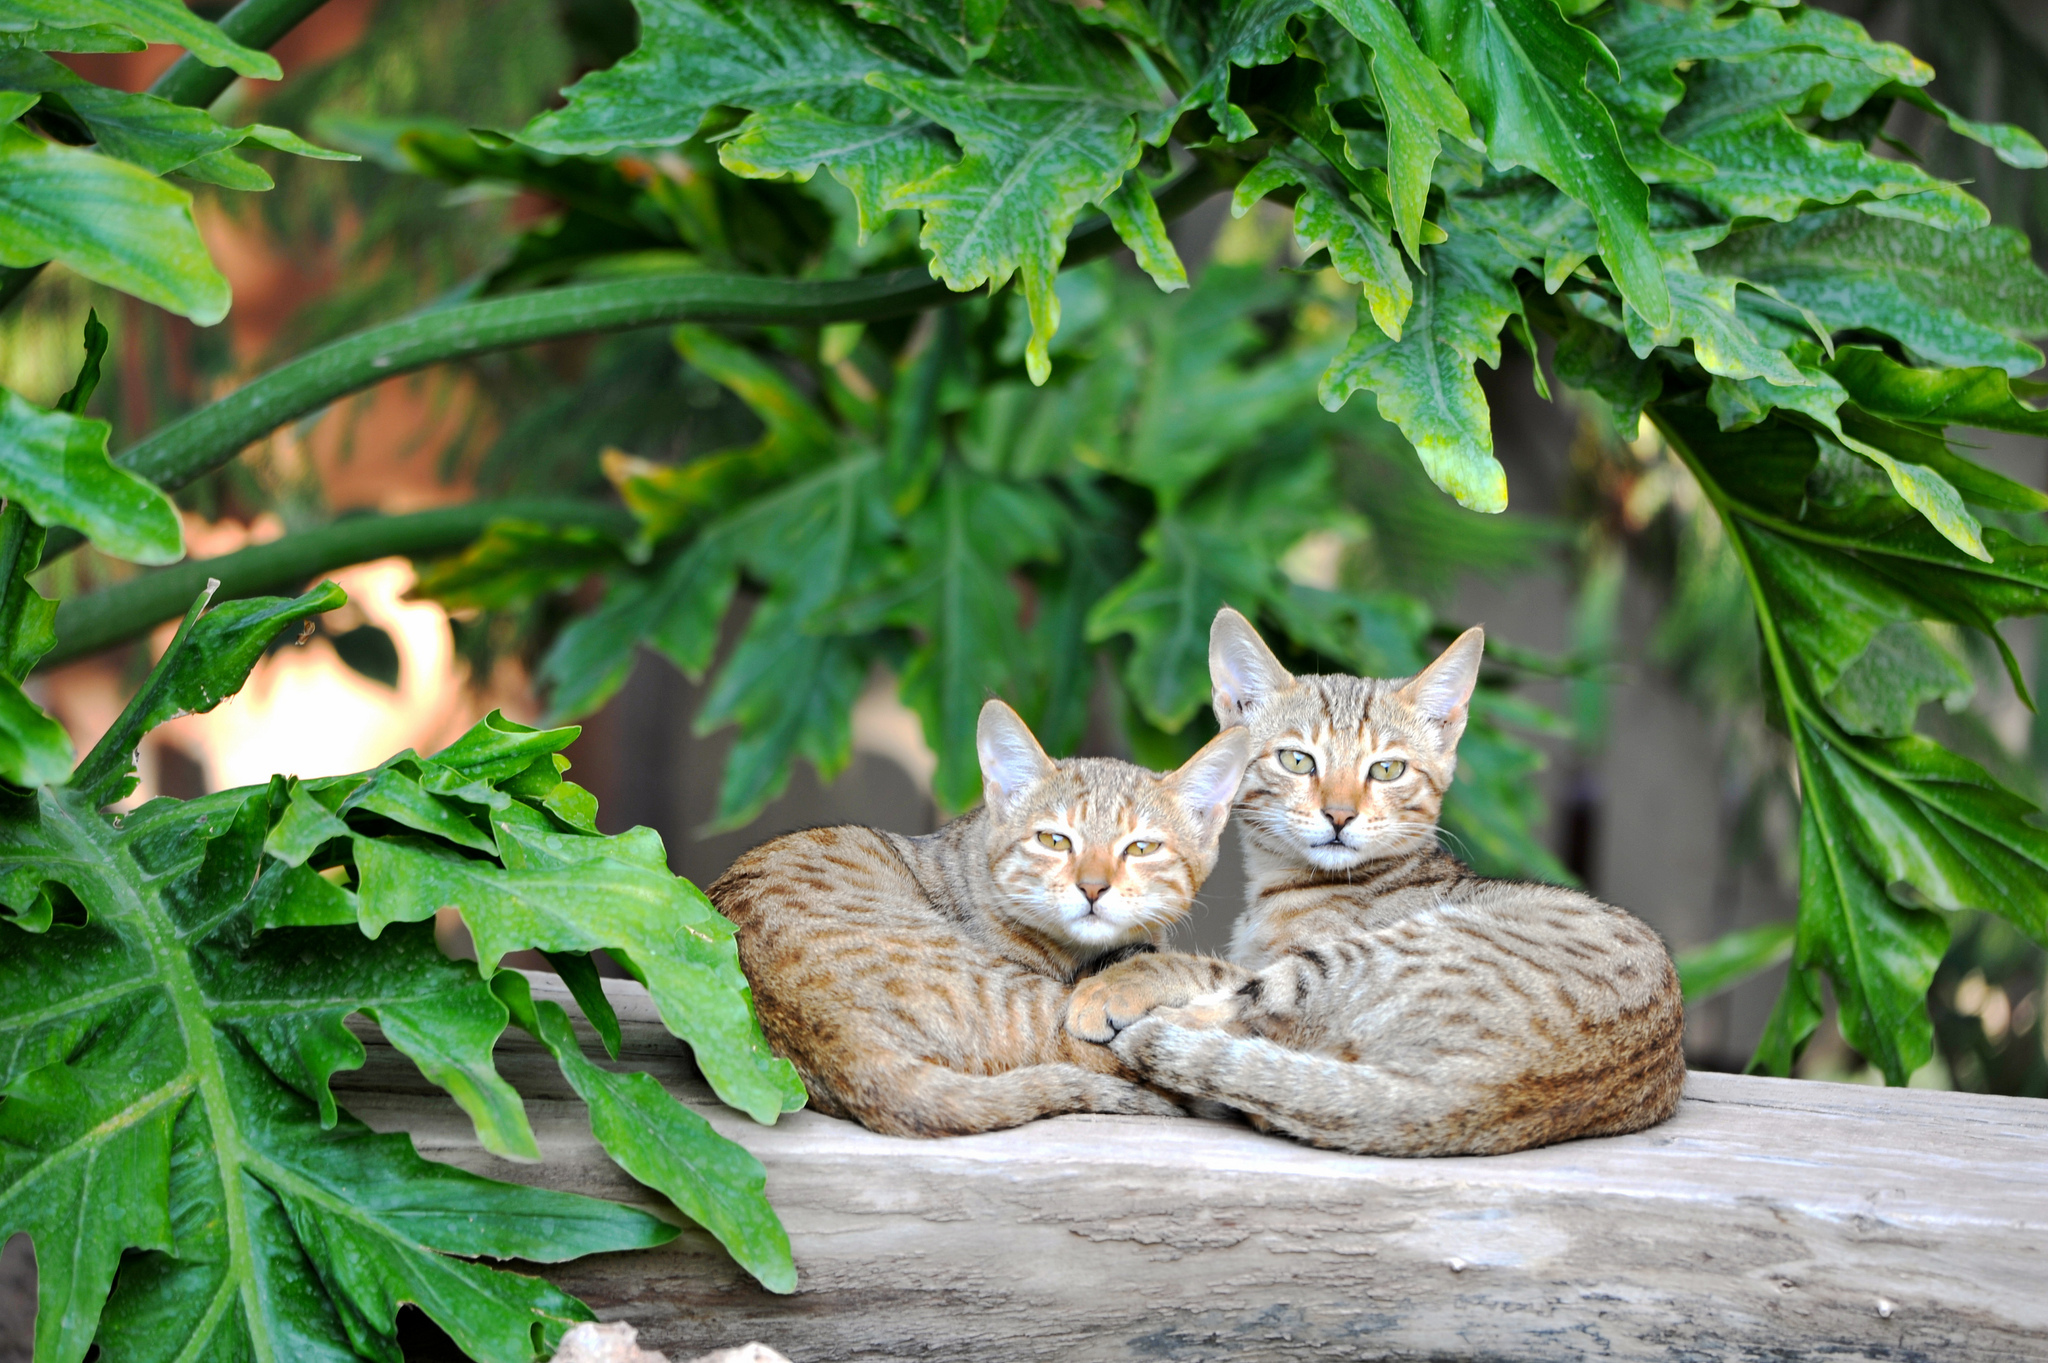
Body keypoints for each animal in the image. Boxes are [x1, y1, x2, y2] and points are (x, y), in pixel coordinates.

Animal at [1064, 609, 1687, 1154]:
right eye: (1297, 761)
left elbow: (1208, 967)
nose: (1340, 815)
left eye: (1387, 769)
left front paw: (1116, 982)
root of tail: (1479, 1090)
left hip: (1357, 959)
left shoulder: (1289, 956)